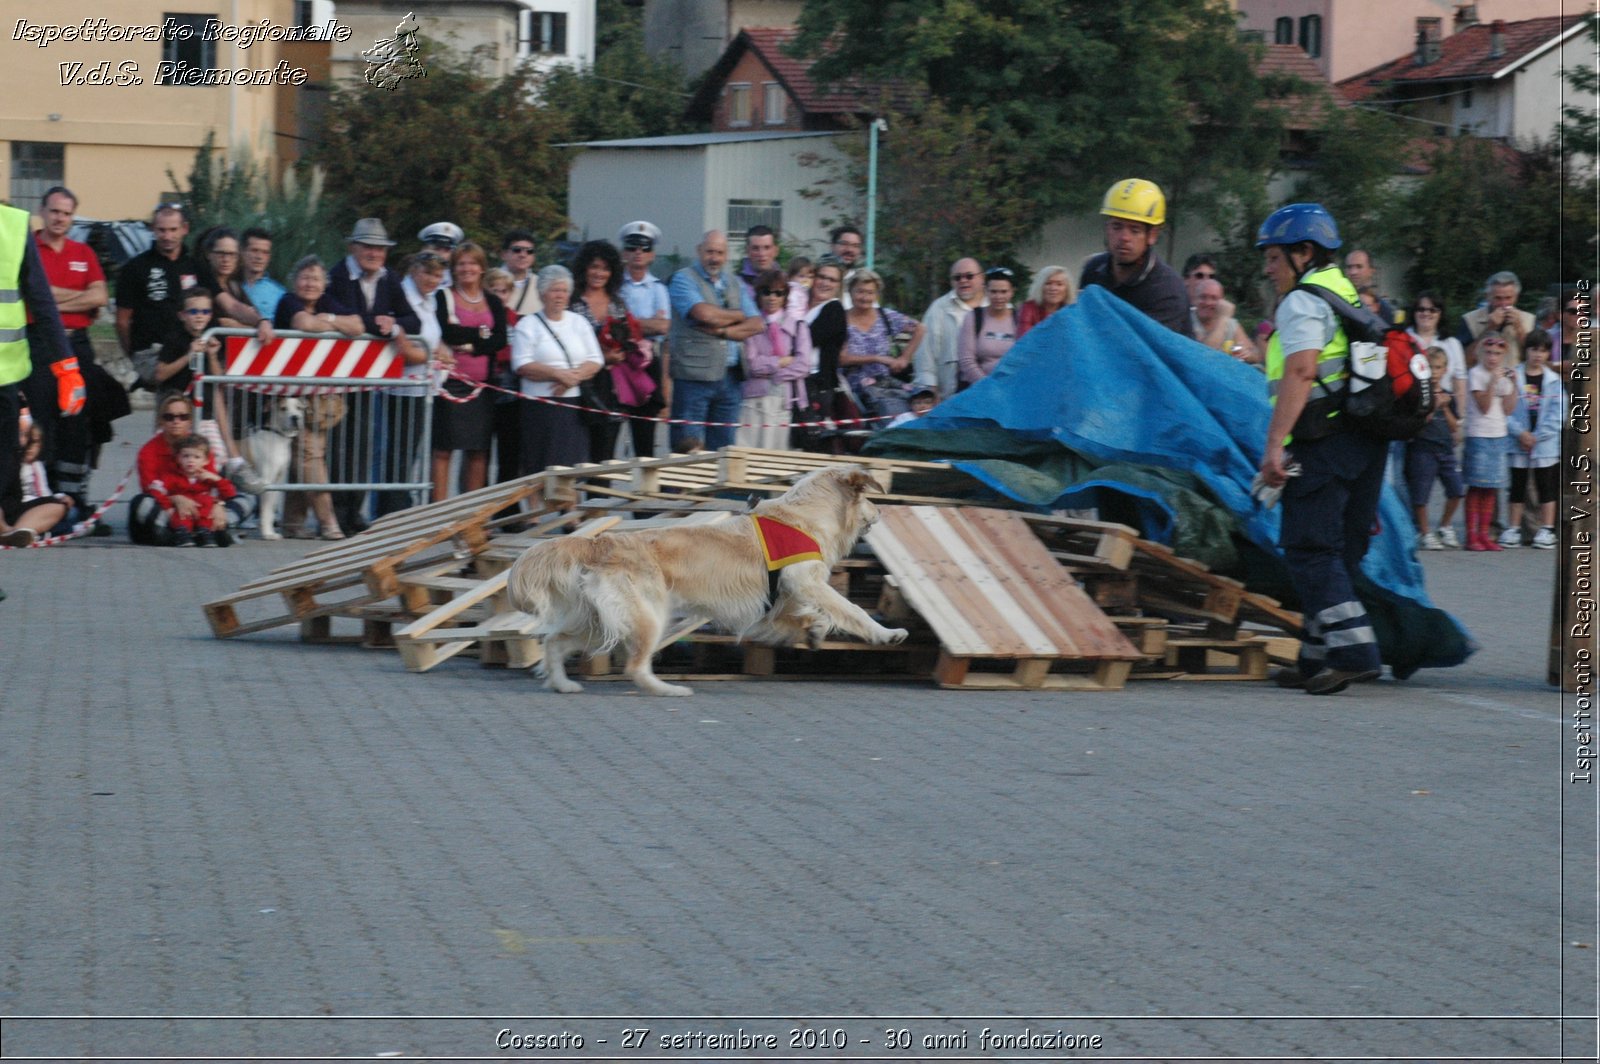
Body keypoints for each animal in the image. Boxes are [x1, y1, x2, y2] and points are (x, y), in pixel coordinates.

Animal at [238, 393, 304, 534]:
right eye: (283, 408)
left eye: (299, 408)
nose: (295, 417)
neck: (278, 437)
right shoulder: (266, 481)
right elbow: (266, 510)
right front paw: (268, 533)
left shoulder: (279, 481)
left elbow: (272, 508)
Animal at [512, 460, 915, 694]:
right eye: (870, 499)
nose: (881, 512)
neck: (806, 515)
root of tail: (599, 542)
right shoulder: (805, 582)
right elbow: (853, 610)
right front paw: (886, 634)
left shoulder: (774, 602)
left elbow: (799, 617)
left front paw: (813, 630)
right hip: (649, 615)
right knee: (635, 666)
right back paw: (669, 690)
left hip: (600, 621)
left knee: (555, 642)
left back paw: (563, 684)